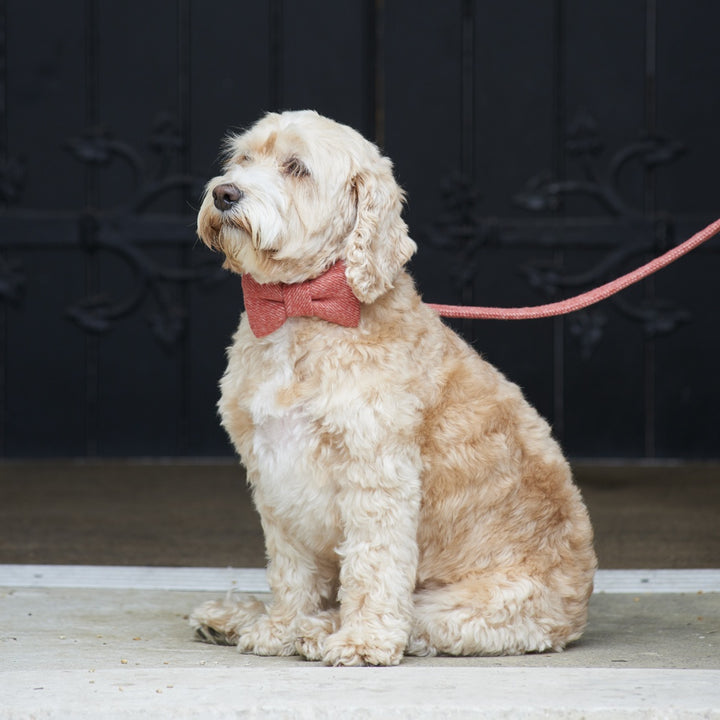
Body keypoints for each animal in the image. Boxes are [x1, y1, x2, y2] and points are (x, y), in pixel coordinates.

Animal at [191, 109, 596, 668]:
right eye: (243, 159)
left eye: (296, 168)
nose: (224, 192)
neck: (302, 307)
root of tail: (577, 612)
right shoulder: (274, 473)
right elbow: (290, 569)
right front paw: (279, 627)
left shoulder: (376, 470)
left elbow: (372, 564)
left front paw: (361, 641)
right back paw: (241, 619)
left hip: (469, 608)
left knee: (415, 622)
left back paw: (320, 631)